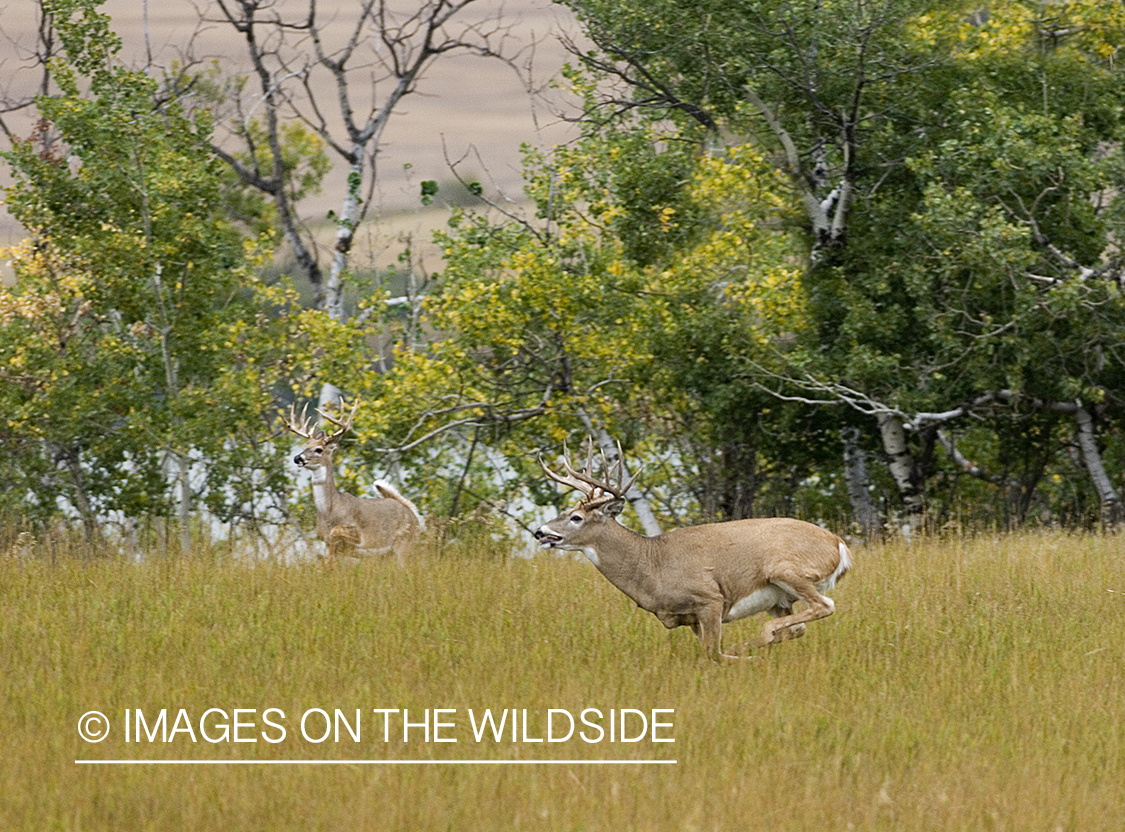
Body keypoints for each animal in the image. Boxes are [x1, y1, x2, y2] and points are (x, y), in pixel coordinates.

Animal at [283, 398, 423, 564]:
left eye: (319, 449)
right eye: (305, 446)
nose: (297, 458)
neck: (330, 511)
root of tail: (415, 516)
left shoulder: (357, 534)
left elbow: (335, 533)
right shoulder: (324, 540)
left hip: (405, 545)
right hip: (388, 555)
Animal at [535, 442, 850, 661]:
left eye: (576, 517)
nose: (540, 531)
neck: (652, 567)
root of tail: (838, 544)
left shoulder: (709, 598)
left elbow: (714, 653)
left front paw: (742, 658)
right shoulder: (688, 619)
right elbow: (709, 652)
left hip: (785, 570)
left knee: (824, 605)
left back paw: (750, 646)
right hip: (778, 598)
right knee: (796, 627)